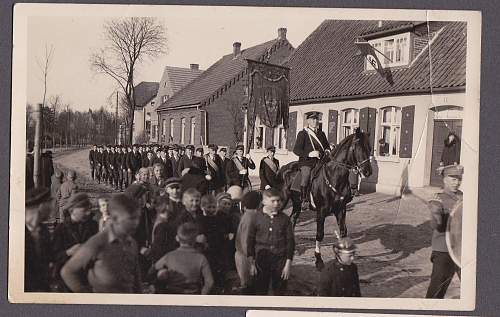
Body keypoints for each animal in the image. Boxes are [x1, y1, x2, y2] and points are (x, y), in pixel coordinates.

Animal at [280, 128, 374, 270]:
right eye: (358, 147)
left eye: (369, 148)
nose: (368, 171)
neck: (334, 176)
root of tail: (284, 167)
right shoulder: (321, 211)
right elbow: (320, 234)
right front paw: (318, 259)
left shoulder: (341, 209)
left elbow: (343, 232)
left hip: (297, 203)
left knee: (292, 220)